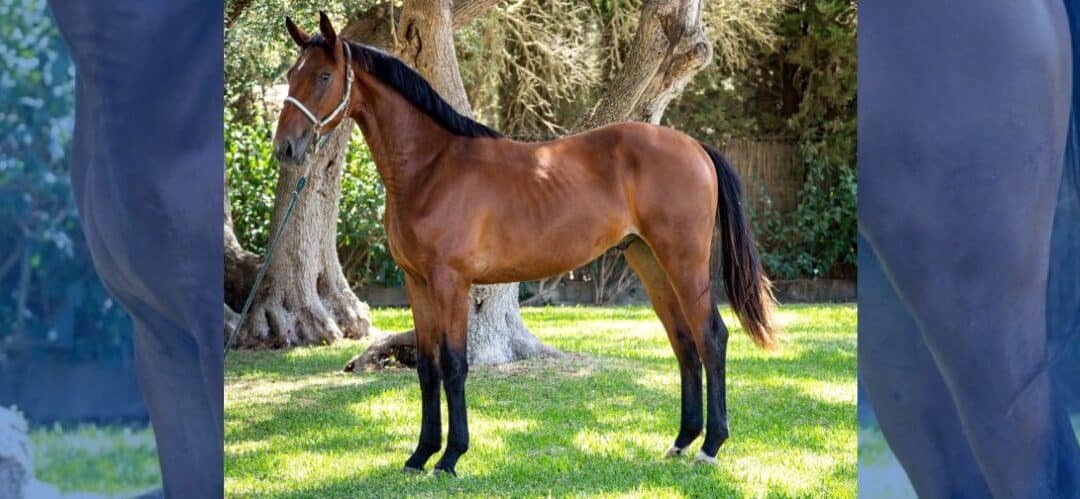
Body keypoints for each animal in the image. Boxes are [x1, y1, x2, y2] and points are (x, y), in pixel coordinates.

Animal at [273, 13, 777, 476]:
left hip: (682, 262)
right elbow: (428, 367)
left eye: (323, 76)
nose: (285, 148)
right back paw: (681, 442)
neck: (432, 167)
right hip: (650, 261)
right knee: (683, 342)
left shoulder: (450, 282)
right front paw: (420, 455)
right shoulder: (417, 283)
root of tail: (695, 147)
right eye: (292, 74)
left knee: (711, 337)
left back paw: (711, 446)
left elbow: (454, 365)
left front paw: (450, 457)